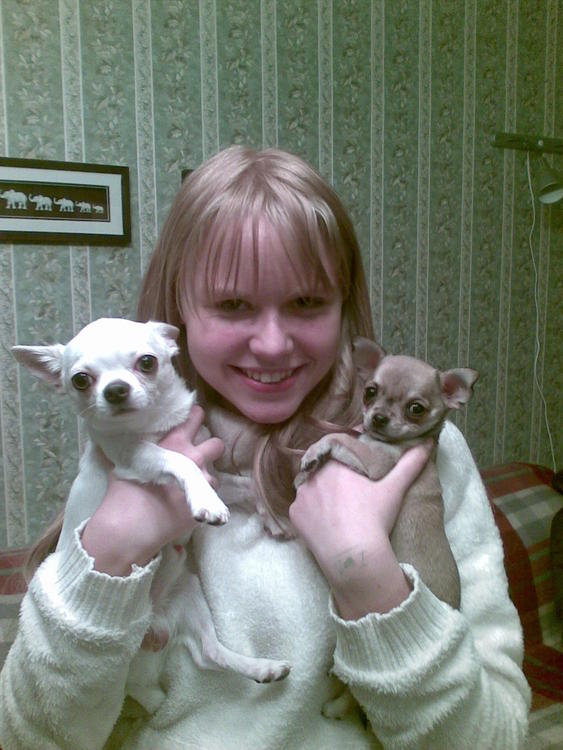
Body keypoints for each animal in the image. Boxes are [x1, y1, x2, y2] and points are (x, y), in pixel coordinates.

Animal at [13, 318, 290, 712]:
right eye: (80, 380)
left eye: (147, 362)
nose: (115, 390)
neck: (155, 424)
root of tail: (153, 630)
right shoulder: (134, 459)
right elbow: (180, 459)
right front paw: (207, 503)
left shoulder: (217, 475)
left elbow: (248, 485)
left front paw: (274, 515)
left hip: (189, 591)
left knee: (209, 653)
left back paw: (260, 667)